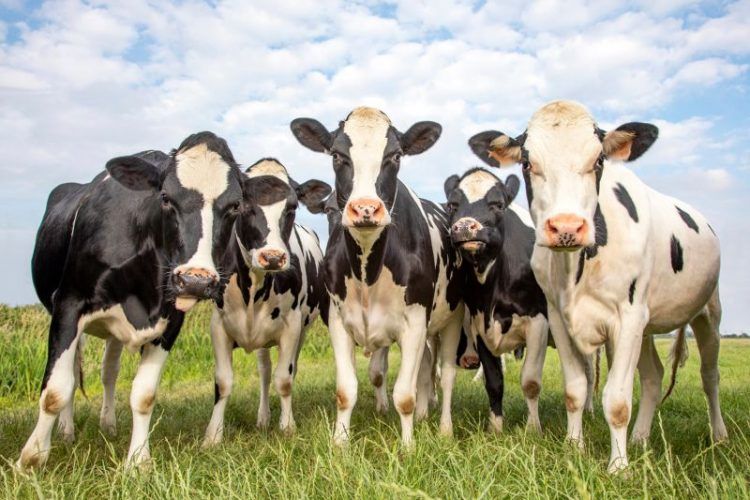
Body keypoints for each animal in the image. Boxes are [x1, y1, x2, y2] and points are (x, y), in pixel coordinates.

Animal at [18, 132, 244, 469]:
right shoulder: (68, 304)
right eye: (165, 197)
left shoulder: (170, 320)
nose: (196, 280)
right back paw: (67, 432)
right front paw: (31, 459)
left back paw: (109, 424)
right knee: (73, 371)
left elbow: (144, 394)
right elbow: (55, 389)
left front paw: (138, 462)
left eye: (235, 206)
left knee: (108, 372)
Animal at [202, 158, 331, 444]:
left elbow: (284, 378)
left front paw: (288, 426)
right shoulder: (218, 325)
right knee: (264, 371)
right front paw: (213, 435)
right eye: (241, 205)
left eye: (292, 207)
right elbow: (223, 381)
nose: (272, 257)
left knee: (286, 369)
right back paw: (262, 418)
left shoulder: (292, 325)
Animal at [290, 107, 465, 445]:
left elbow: (405, 395)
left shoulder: (415, 323)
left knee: (447, 375)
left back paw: (444, 428)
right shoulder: (338, 321)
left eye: (395, 156)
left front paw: (408, 447)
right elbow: (346, 391)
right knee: (426, 367)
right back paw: (424, 415)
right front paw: (340, 443)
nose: (366, 209)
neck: (367, 271)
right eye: (336, 155)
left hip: (452, 317)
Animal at [443, 168, 548, 432]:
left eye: (498, 205)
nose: (464, 226)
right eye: (452, 205)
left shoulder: (538, 321)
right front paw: (496, 428)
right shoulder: (480, 325)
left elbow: (530, 381)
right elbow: (494, 381)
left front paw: (533, 429)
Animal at [468, 100, 727, 472]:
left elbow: (617, 401)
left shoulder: (627, 318)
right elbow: (575, 388)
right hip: (647, 327)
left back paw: (718, 434)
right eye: (528, 162)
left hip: (708, 314)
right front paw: (573, 447)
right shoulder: (558, 317)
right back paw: (640, 437)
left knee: (710, 375)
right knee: (653, 377)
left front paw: (618, 467)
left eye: (599, 161)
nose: (566, 227)